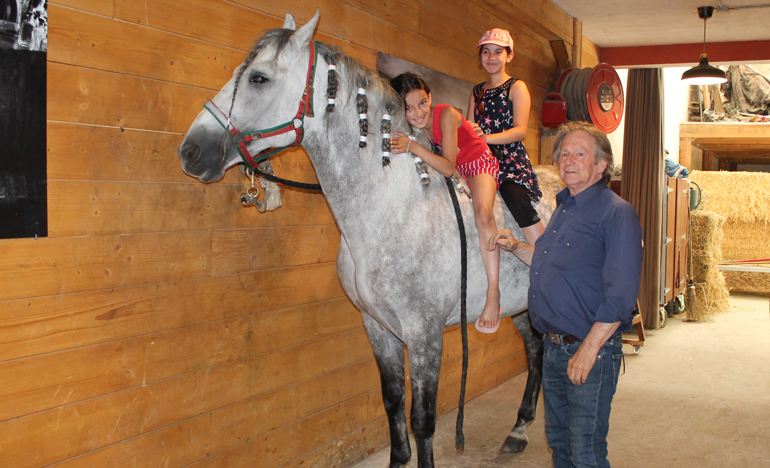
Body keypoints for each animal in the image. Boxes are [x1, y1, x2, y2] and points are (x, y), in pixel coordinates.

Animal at [177, 11, 556, 468]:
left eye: (258, 78)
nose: (191, 150)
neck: (393, 210)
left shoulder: (424, 334)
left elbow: (422, 420)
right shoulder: (377, 327)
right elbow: (392, 404)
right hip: (521, 306)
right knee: (535, 350)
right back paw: (518, 431)